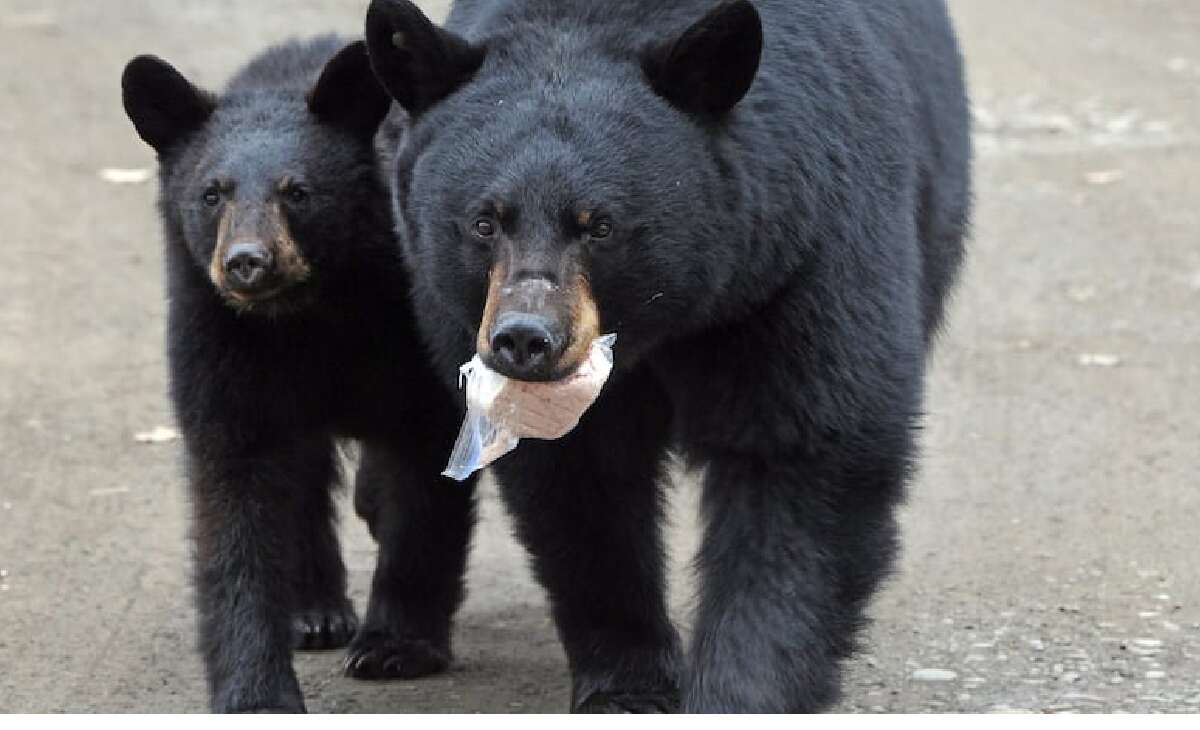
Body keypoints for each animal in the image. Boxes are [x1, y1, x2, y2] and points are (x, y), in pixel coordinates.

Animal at [121, 36, 476, 712]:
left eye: (298, 191)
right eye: (213, 193)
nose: (247, 262)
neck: (308, 312)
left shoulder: (409, 331)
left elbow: (425, 464)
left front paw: (395, 646)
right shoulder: (219, 339)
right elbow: (237, 498)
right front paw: (256, 690)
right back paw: (314, 611)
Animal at [364, 0, 970, 713]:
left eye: (600, 225)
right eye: (484, 221)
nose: (525, 339)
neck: (664, 324)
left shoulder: (802, 255)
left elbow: (805, 455)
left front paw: (739, 692)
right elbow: (580, 484)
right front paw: (628, 682)